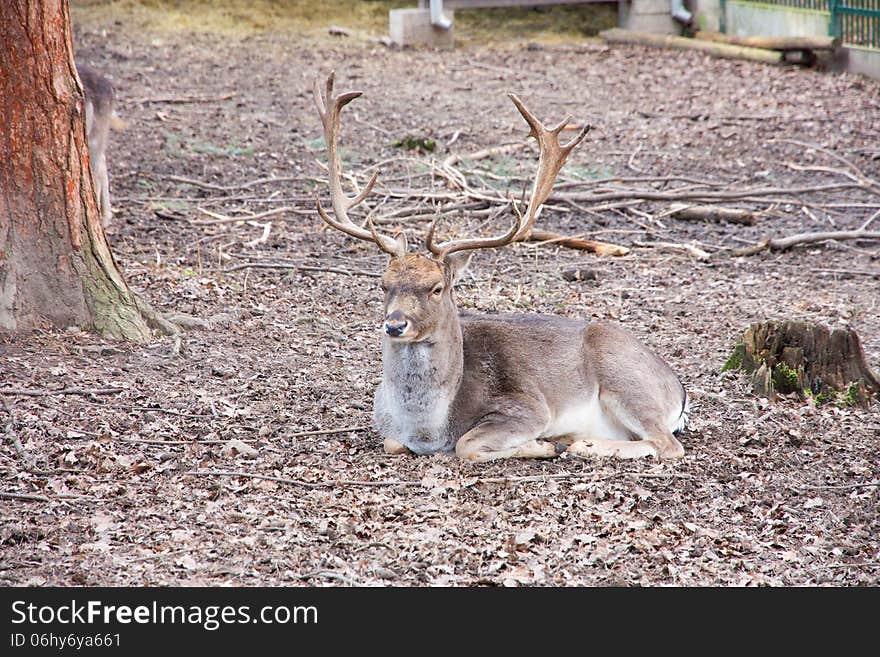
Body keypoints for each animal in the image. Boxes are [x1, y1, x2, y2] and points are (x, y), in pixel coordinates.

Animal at [314, 72, 688, 462]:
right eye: (383, 284)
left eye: (437, 287)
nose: (395, 324)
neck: (428, 428)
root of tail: (679, 393)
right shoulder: (388, 429)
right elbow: (392, 442)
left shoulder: (528, 406)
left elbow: (466, 444)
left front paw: (544, 444)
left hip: (626, 379)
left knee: (668, 444)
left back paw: (579, 442)